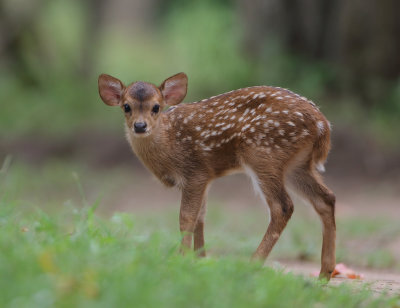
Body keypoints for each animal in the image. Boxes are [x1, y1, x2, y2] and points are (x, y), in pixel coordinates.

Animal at [98, 71, 336, 280]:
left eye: (156, 107)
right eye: (126, 107)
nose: (140, 126)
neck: (170, 142)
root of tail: (322, 125)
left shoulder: (195, 172)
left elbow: (186, 217)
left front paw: (182, 260)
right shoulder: (206, 177)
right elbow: (200, 218)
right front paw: (200, 260)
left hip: (264, 153)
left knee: (283, 206)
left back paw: (252, 265)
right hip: (297, 165)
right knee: (326, 198)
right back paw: (325, 273)